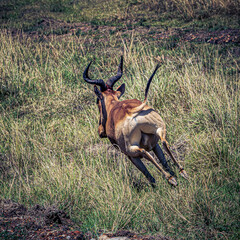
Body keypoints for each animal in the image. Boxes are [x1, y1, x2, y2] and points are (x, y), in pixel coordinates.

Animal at [83, 57, 188, 187]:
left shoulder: (128, 155)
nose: (100, 131)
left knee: (144, 152)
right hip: (159, 129)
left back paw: (170, 179)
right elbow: (163, 160)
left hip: (131, 148)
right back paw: (182, 172)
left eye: (97, 101)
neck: (114, 106)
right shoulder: (155, 145)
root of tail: (131, 111)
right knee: (164, 142)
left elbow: (145, 171)